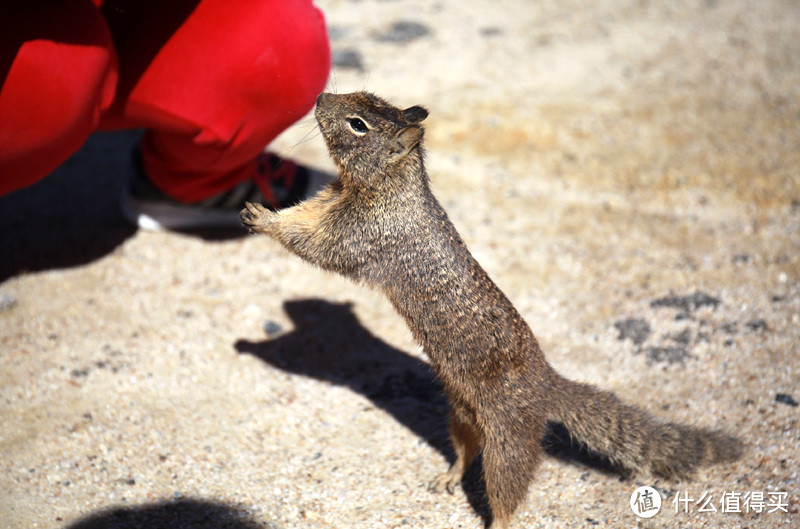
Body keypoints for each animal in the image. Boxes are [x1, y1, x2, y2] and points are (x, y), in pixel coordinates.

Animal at [239, 92, 744, 528]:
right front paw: (260, 211)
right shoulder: (331, 202)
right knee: (467, 451)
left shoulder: (362, 232)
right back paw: (447, 475)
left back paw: (498, 521)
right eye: (364, 97)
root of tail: (547, 385)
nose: (321, 97)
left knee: (506, 488)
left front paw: (262, 220)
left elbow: (316, 244)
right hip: (462, 414)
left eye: (358, 124)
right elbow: (302, 218)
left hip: (510, 440)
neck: (391, 185)